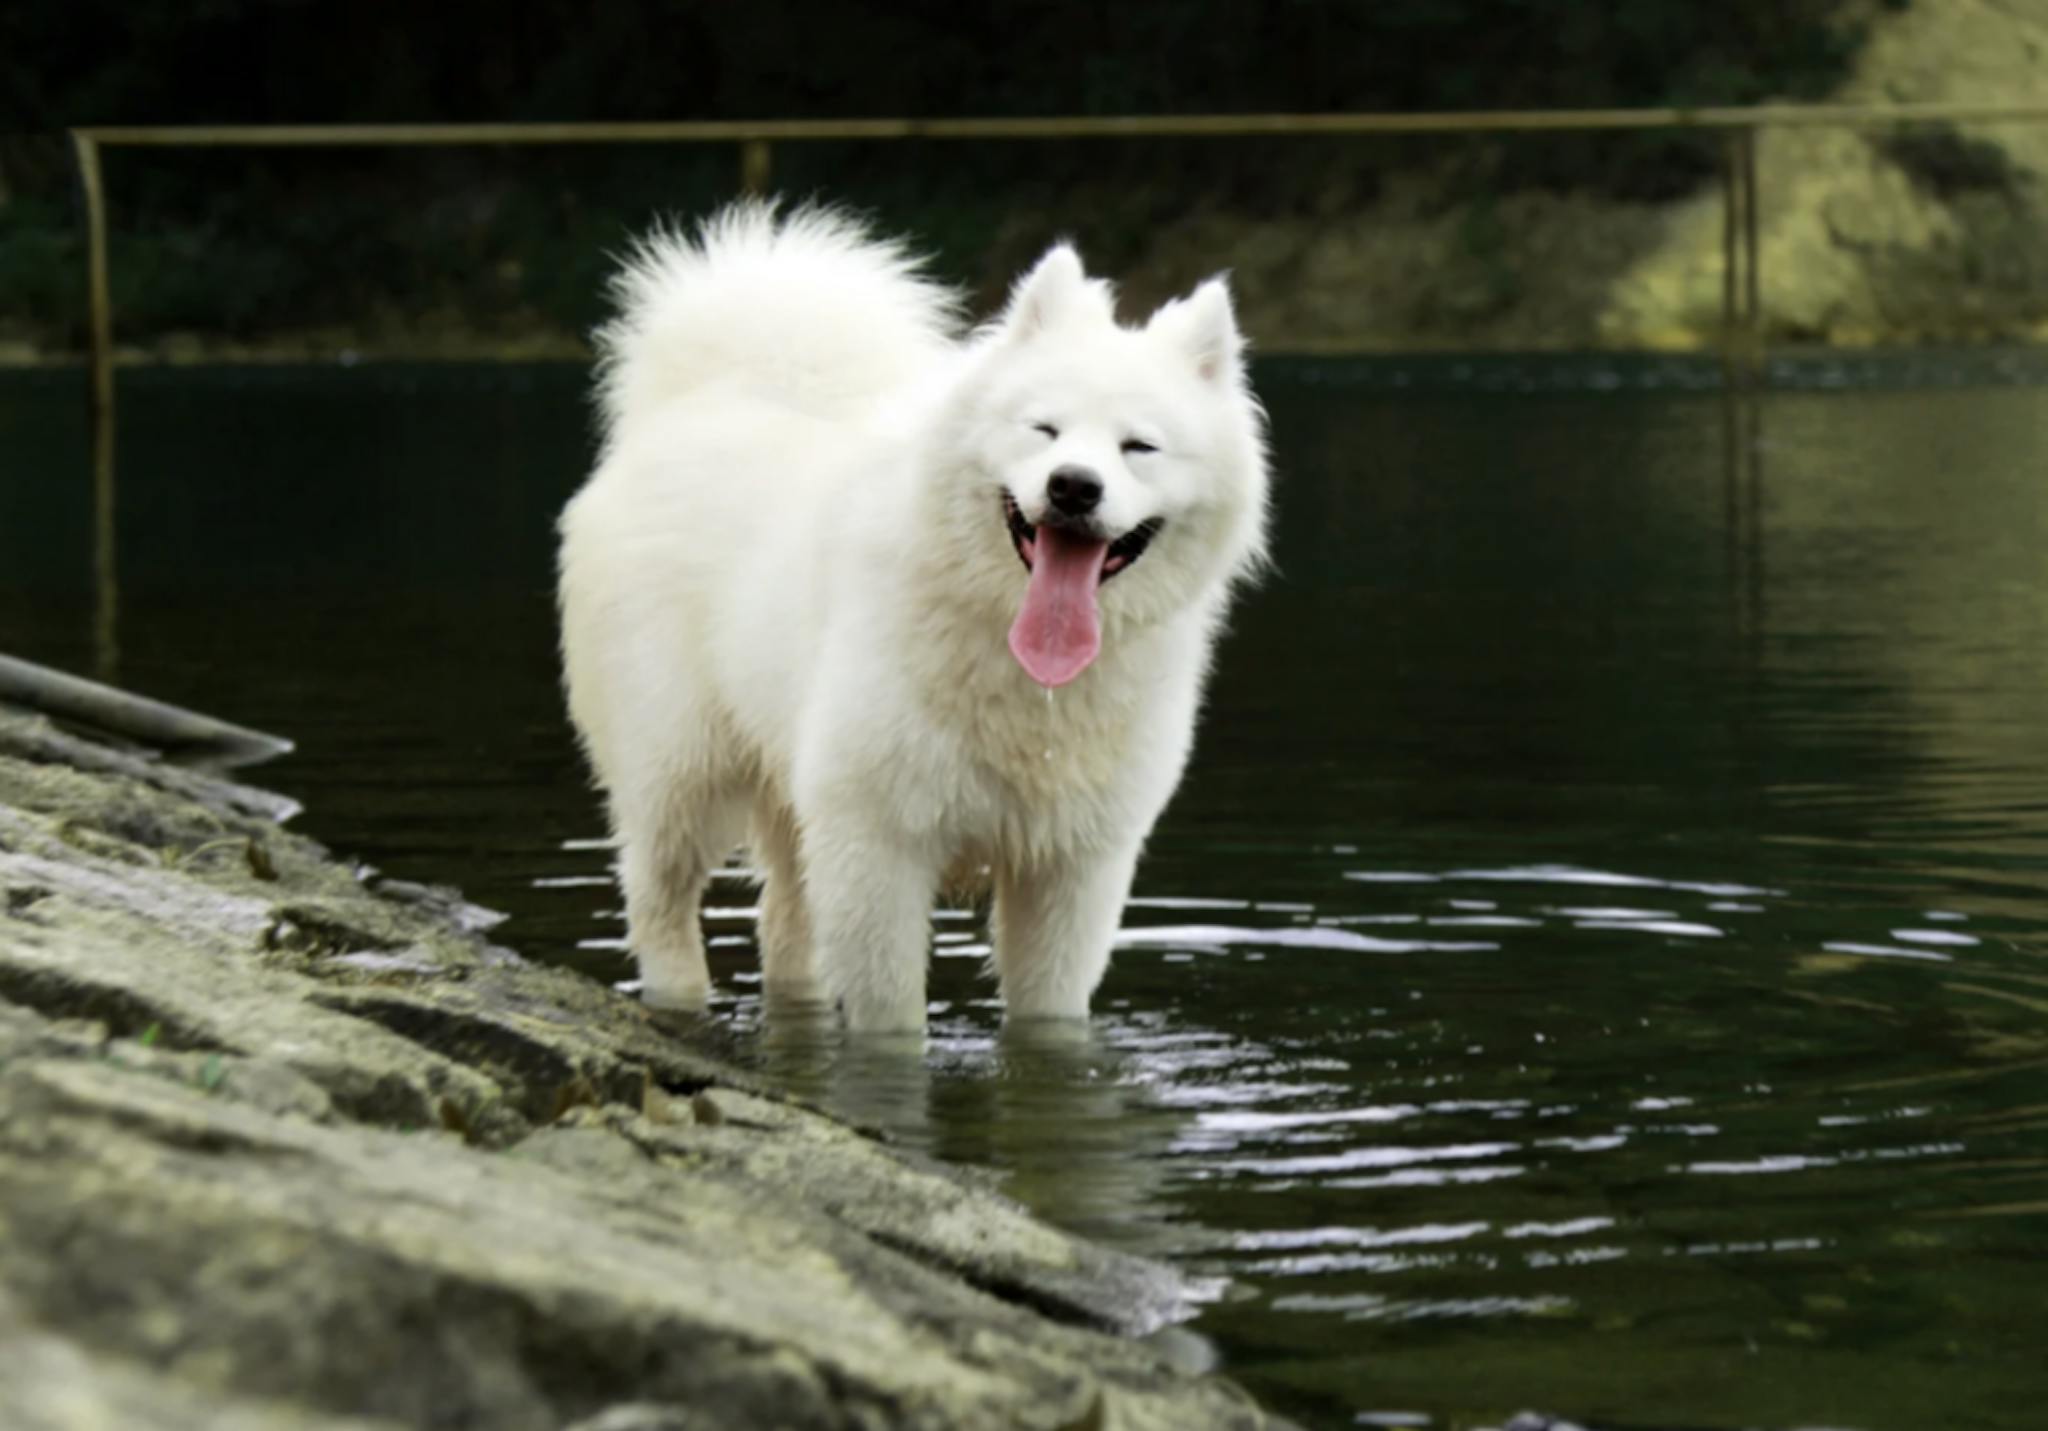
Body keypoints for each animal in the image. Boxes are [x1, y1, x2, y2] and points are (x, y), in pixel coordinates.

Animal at [557, 204, 1261, 1031]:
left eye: (1139, 447)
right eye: (1044, 430)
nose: (1074, 486)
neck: (1018, 665)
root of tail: (702, 399)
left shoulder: (1071, 868)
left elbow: (1048, 1019)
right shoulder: (878, 846)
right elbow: (892, 1022)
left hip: (793, 792)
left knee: (785, 925)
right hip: (681, 770)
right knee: (659, 899)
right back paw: (680, 998)